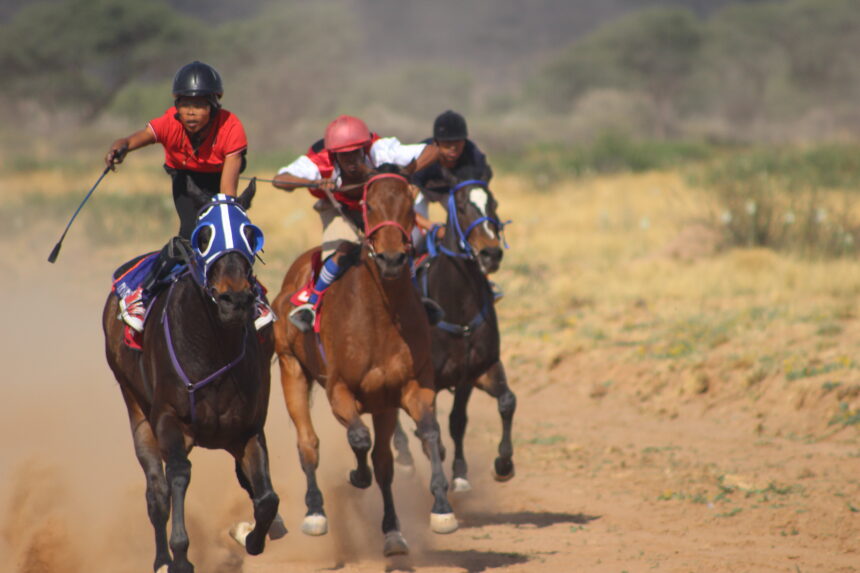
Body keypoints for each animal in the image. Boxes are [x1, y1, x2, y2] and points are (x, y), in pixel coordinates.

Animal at [103, 182, 284, 573]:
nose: (235, 299)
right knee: (157, 491)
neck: (214, 347)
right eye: (204, 237)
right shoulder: (169, 418)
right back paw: (161, 559)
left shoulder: (248, 429)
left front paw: (251, 536)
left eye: (251, 234)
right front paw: (180, 555)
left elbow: (265, 497)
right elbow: (178, 475)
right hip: (135, 406)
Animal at [271, 165, 457, 557]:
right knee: (308, 443)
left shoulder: (405, 390)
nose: (391, 259)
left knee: (384, 463)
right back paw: (315, 512)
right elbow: (358, 438)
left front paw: (441, 509)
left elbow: (427, 434)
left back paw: (392, 532)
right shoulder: (340, 390)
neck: (380, 317)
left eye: (408, 203)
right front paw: (356, 476)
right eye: (368, 205)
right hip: (291, 367)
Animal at [393, 171, 517, 493]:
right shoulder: (427, 381)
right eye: (460, 207)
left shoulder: (475, 370)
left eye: (494, 203)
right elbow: (432, 427)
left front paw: (496, 466)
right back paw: (404, 456)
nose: (491, 253)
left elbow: (494, 407)